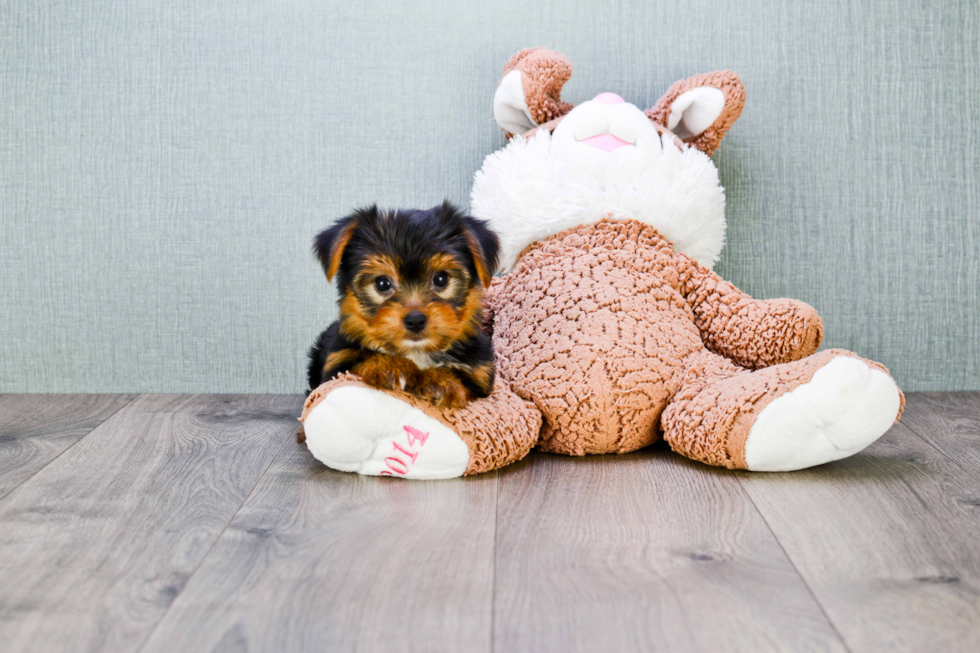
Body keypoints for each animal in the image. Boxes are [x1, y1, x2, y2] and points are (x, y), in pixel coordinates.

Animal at [308, 201, 498, 410]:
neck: (416, 352)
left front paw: (442, 382)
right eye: (382, 283)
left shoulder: (480, 375)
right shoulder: (337, 364)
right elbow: (358, 362)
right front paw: (389, 365)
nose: (415, 320)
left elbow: (466, 385)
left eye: (441, 279)